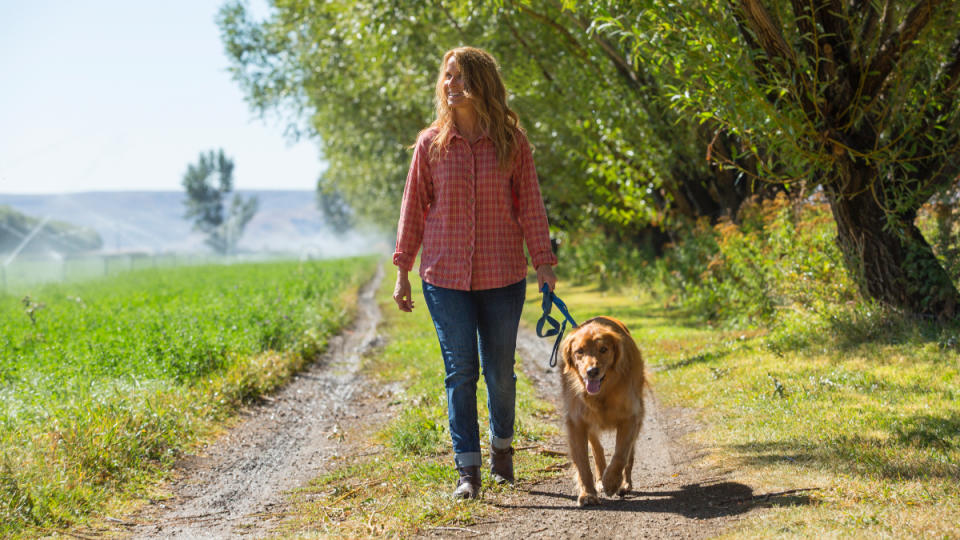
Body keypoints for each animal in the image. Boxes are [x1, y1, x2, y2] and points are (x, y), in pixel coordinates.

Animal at [564, 316, 644, 506]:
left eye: (603, 349)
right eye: (579, 351)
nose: (592, 371)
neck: (603, 392)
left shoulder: (630, 417)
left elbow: (621, 454)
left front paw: (612, 482)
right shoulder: (577, 422)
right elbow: (583, 462)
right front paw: (588, 493)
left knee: (629, 454)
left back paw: (624, 484)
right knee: (597, 450)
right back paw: (600, 479)